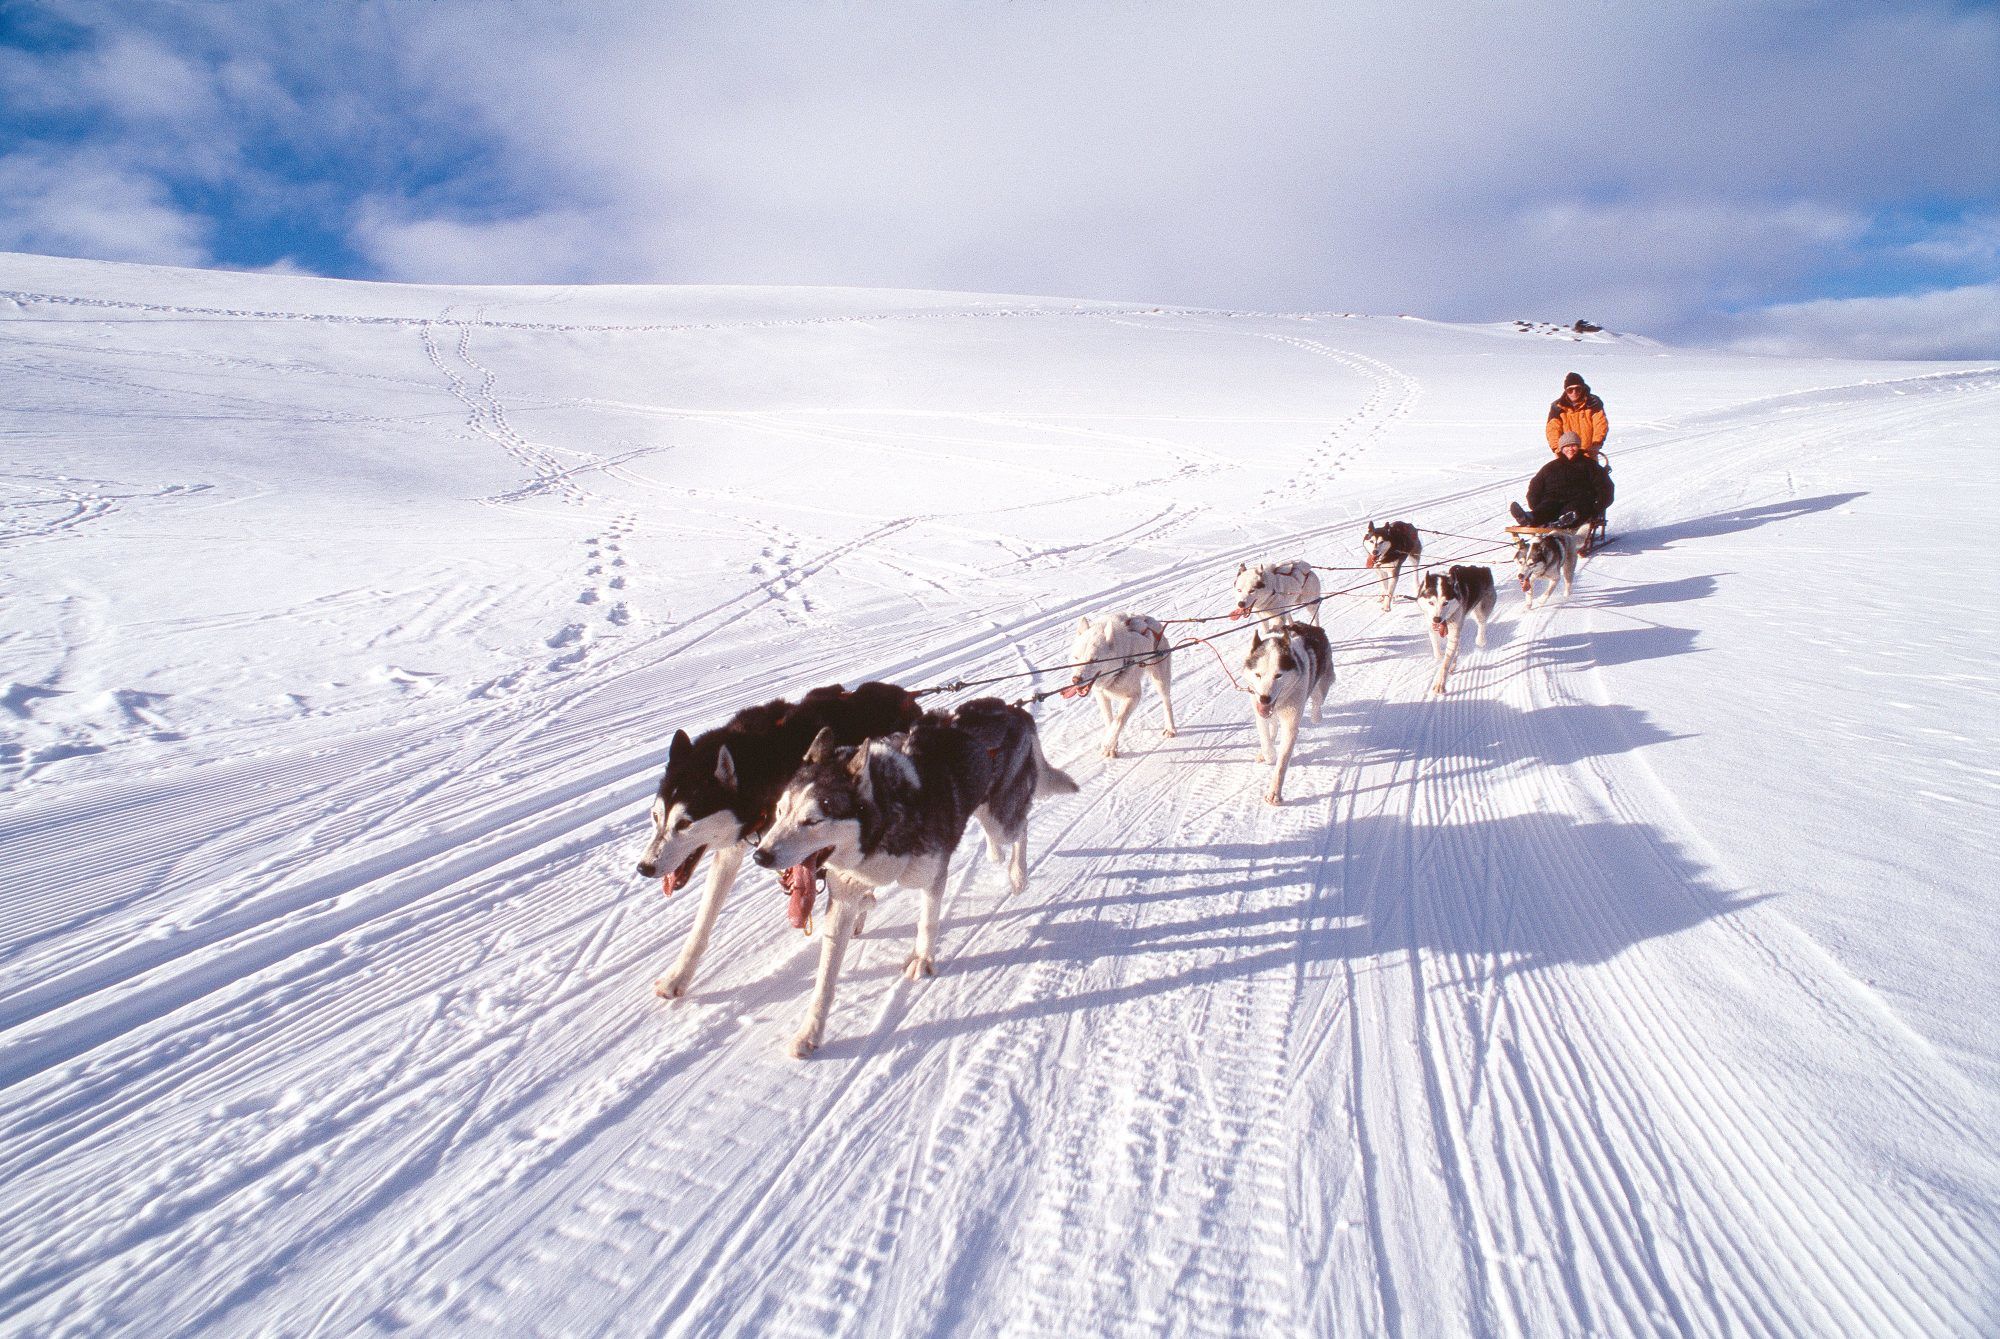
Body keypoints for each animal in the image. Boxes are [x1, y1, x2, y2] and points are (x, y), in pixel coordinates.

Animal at [632, 687, 920, 1003]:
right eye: (656, 816)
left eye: (684, 823)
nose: (644, 868)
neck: (765, 762)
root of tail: (904, 694)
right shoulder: (734, 850)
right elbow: (703, 920)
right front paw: (677, 977)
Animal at [752, 703, 1080, 1063]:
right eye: (780, 811)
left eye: (812, 820)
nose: (760, 855)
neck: (888, 815)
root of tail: (1011, 708)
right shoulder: (843, 898)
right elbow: (825, 978)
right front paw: (810, 1033)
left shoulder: (932, 874)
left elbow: (927, 922)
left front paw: (922, 959)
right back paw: (995, 855)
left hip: (1000, 819)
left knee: (1020, 827)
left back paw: (1018, 874)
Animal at [1064, 615, 1168, 759]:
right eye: (1076, 657)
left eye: (1094, 660)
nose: (1076, 679)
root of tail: (1150, 620)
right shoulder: (1102, 696)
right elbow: (1110, 721)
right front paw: (1113, 746)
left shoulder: (1133, 696)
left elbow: (1118, 722)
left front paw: (1108, 744)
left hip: (1160, 681)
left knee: (1167, 703)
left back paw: (1171, 728)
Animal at [1240, 623, 1336, 807]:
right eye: (1258, 674)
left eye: (1278, 675)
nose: (1264, 698)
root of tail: (1314, 627)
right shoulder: (1260, 713)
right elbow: (1265, 738)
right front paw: (1269, 754)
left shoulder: (1290, 725)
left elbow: (1282, 762)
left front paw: (1274, 794)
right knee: (1273, 725)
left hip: (1320, 686)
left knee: (1317, 700)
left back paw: (1316, 716)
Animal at [1416, 567, 1496, 699]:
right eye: (1431, 602)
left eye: (1445, 603)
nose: (1437, 619)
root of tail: (1483, 569)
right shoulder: (1432, 628)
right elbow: (1438, 651)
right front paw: (1441, 656)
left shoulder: (1453, 632)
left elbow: (1445, 663)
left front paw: (1439, 683)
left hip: (1480, 610)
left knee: (1482, 623)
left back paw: (1481, 640)